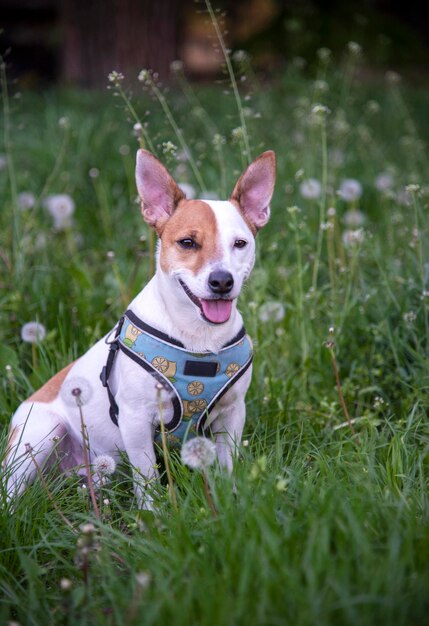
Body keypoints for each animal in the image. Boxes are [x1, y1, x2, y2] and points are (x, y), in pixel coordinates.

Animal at [3, 150, 276, 508]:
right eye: (187, 242)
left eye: (240, 243)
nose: (221, 281)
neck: (198, 339)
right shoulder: (135, 421)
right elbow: (147, 479)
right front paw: (155, 515)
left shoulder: (232, 414)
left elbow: (227, 465)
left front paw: (229, 501)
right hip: (42, 434)